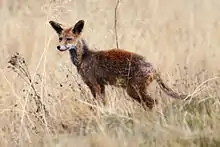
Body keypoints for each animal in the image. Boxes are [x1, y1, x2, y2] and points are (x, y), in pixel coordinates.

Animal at [49, 19, 188, 109]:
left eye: (69, 39)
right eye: (60, 38)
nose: (58, 47)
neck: (83, 58)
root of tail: (152, 67)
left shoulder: (94, 85)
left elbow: (98, 105)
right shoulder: (101, 86)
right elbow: (103, 104)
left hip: (132, 91)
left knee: (154, 102)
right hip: (135, 92)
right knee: (150, 103)